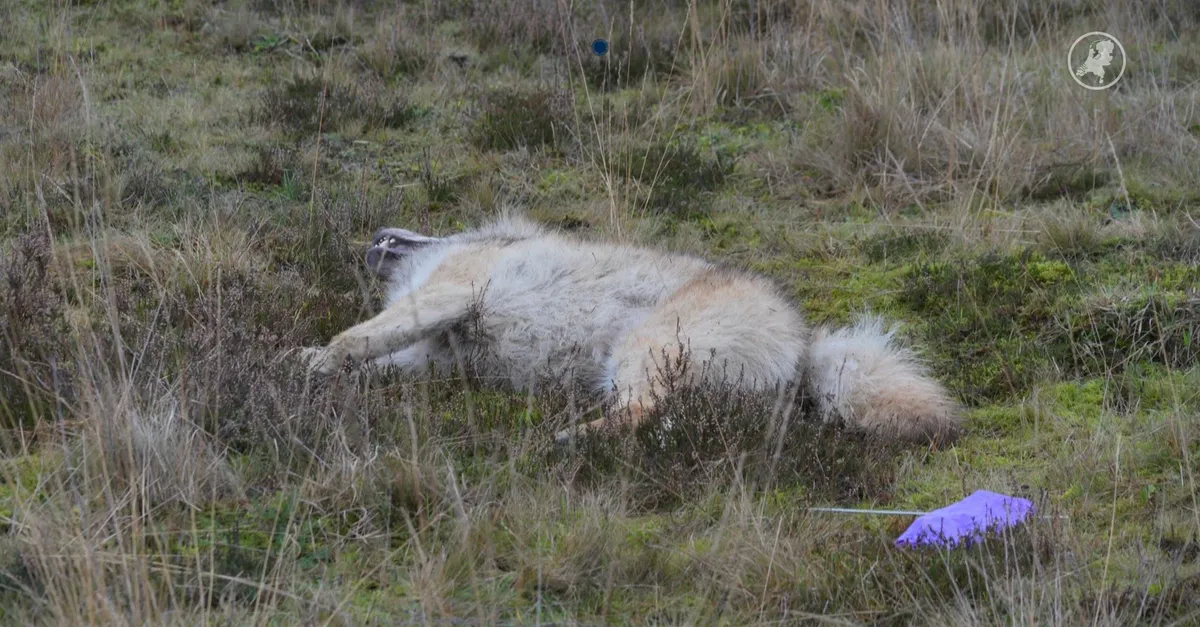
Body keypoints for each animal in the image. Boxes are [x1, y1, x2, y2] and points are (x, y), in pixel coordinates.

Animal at [299, 214, 962, 445]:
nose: (373, 236)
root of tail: (806, 345)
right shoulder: (433, 358)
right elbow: (373, 357)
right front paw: (313, 366)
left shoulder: (448, 294)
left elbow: (355, 337)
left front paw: (308, 362)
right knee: (660, 420)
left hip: (641, 348)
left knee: (642, 414)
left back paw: (565, 438)